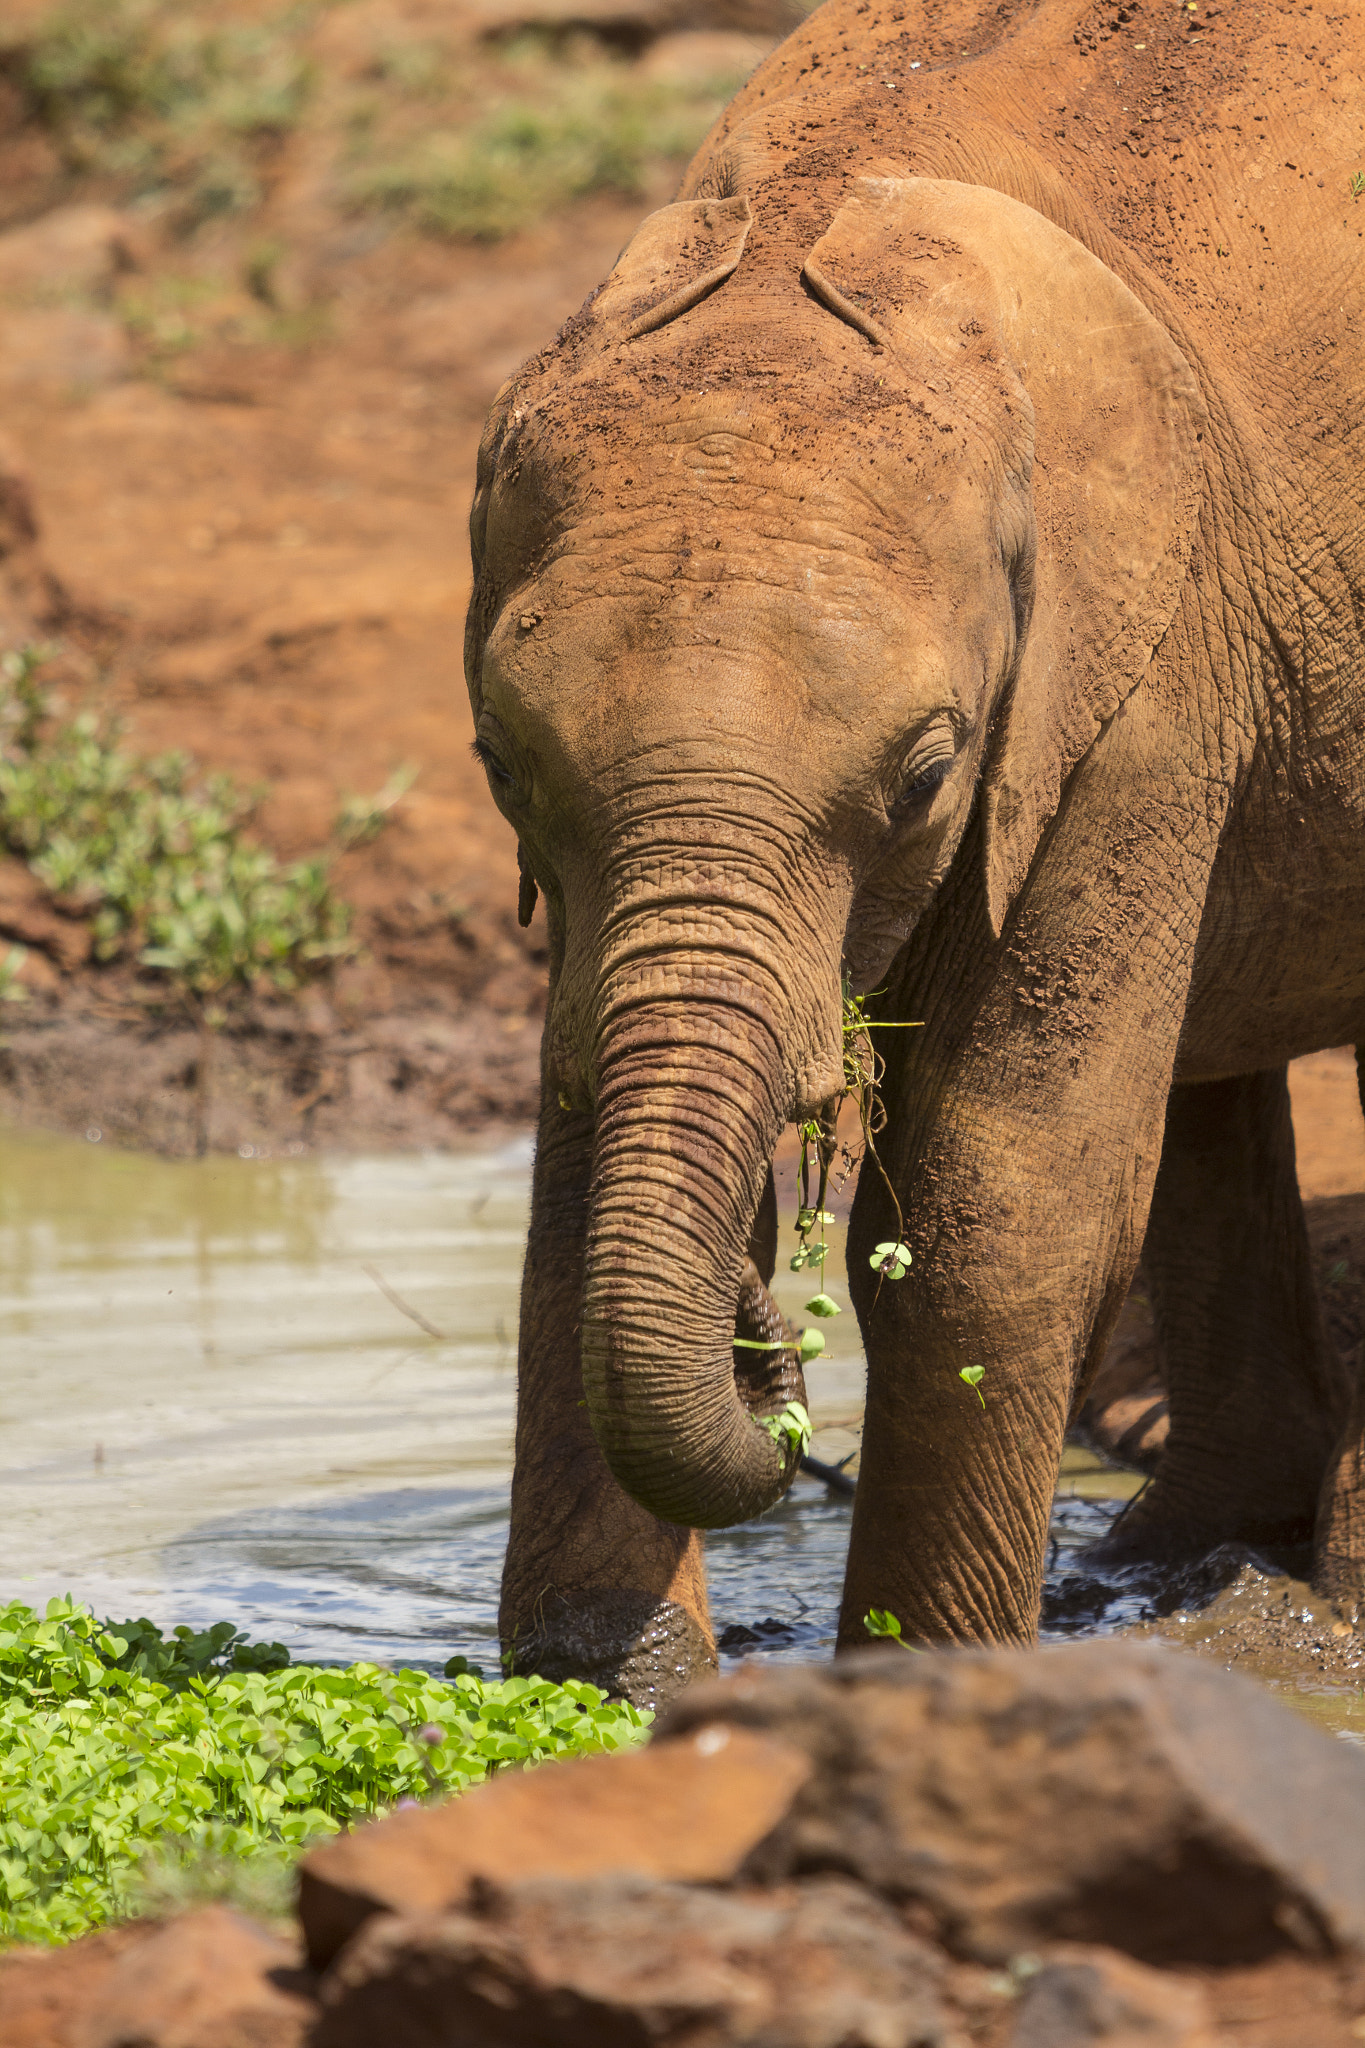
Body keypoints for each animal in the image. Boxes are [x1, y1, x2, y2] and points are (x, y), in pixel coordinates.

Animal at [466, 0, 1365, 1703]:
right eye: (501, 767)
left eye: (926, 775)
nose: (764, 1339)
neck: (820, 216)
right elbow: (570, 1150)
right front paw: (609, 1689)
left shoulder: (1133, 670)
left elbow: (1002, 1201)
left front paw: (919, 1685)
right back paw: (1171, 1565)